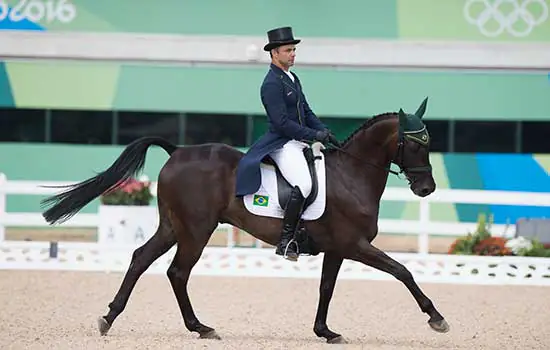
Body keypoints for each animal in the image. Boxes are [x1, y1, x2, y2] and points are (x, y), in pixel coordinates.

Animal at [41, 97, 450, 344]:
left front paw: (325, 331)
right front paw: (436, 317)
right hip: (196, 230)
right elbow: (402, 271)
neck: (352, 175)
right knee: (177, 272)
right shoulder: (355, 245)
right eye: (417, 144)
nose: (427, 187)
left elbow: (326, 289)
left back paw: (110, 317)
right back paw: (200, 327)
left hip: (172, 226)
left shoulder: (337, 249)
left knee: (141, 259)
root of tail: (178, 151)